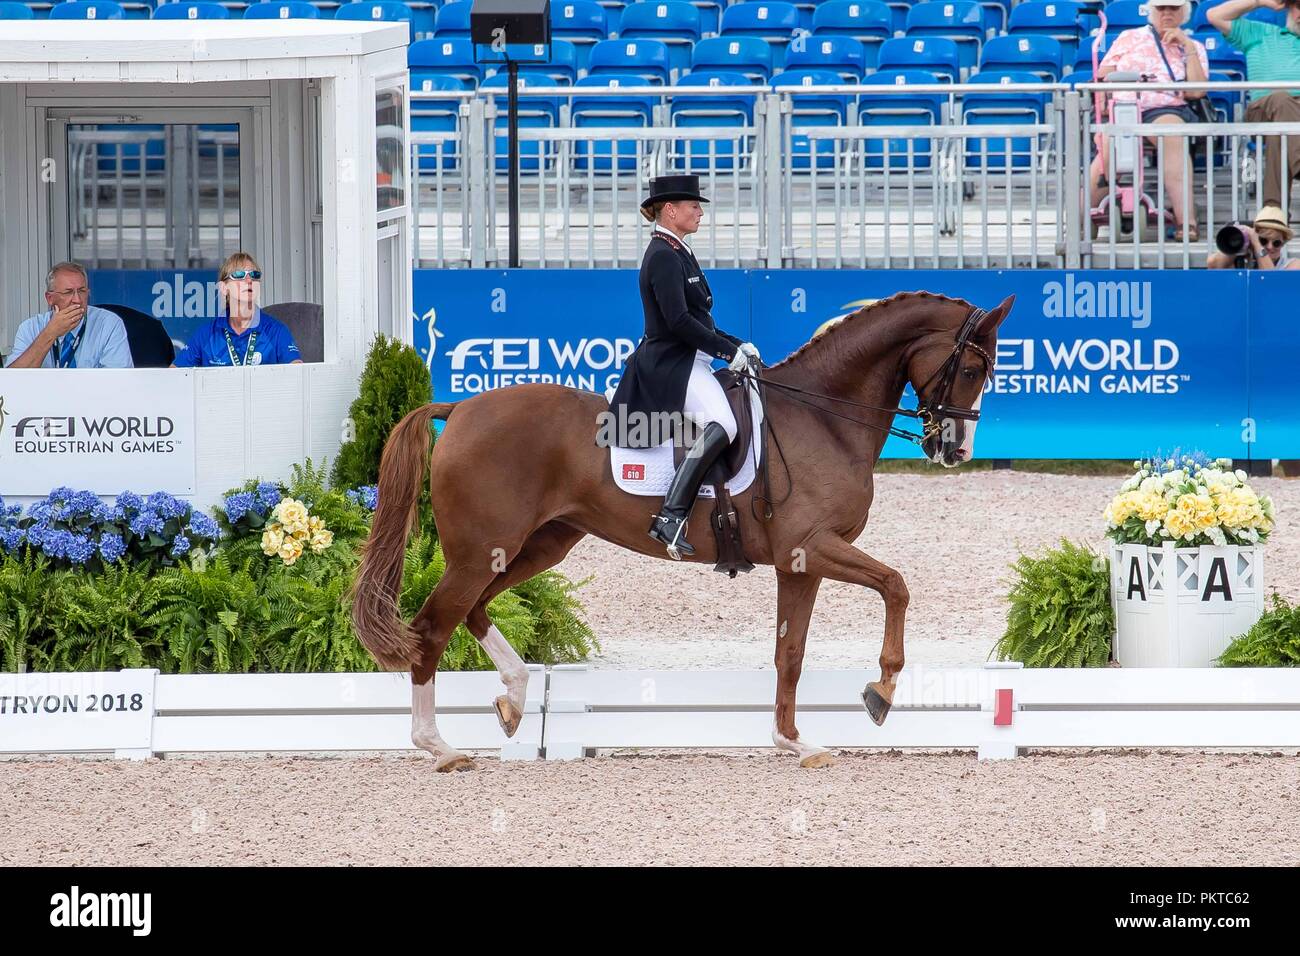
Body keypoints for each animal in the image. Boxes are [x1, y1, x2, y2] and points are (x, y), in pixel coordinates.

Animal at [353, 290, 1013, 770]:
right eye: (972, 367)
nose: (956, 451)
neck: (825, 416)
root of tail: (460, 408)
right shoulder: (813, 547)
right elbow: (896, 585)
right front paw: (882, 693)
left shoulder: (798, 563)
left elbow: (790, 651)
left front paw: (794, 741)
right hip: (482, 550)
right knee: (431, 628)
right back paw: (440, 747)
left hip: (537, 545)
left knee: (472, 610)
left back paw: (513, 701)